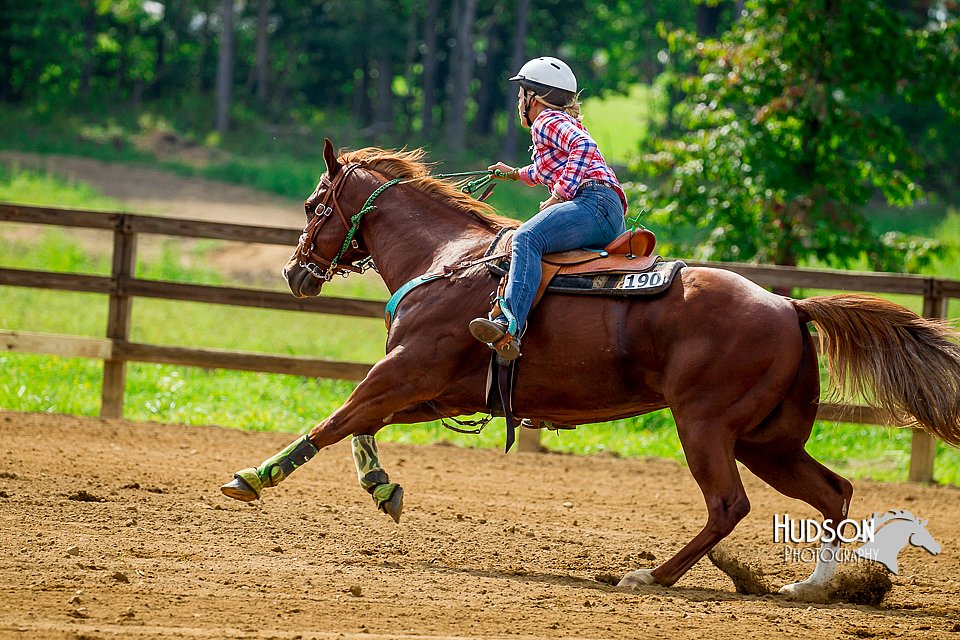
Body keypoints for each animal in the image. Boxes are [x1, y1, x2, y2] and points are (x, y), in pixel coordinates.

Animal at [219, 138, 960, 604]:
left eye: (314, 205)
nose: (294, 274)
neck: (449, 259)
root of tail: (788, 304)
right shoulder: (437, 391)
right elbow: (362, 427)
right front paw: (382, 488)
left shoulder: (406, 369)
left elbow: (337, 417)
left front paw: (253, 478)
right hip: (768, 439)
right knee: (833, 492)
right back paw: (810, 587)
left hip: (706, 425)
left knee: (730, 505)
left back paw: (651, 577)